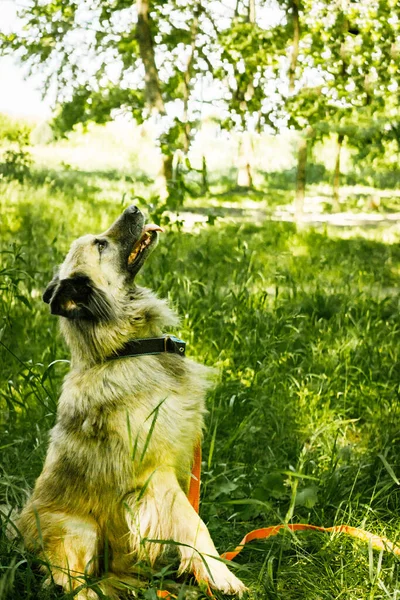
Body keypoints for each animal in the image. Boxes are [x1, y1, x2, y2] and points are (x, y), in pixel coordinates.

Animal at [18, 204, 247, 596]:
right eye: (101, 245)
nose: (135, 207)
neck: (123, 350)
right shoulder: (156, 474)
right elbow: (195, 523)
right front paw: (220, 574)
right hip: (80, 530)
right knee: (70, 583)